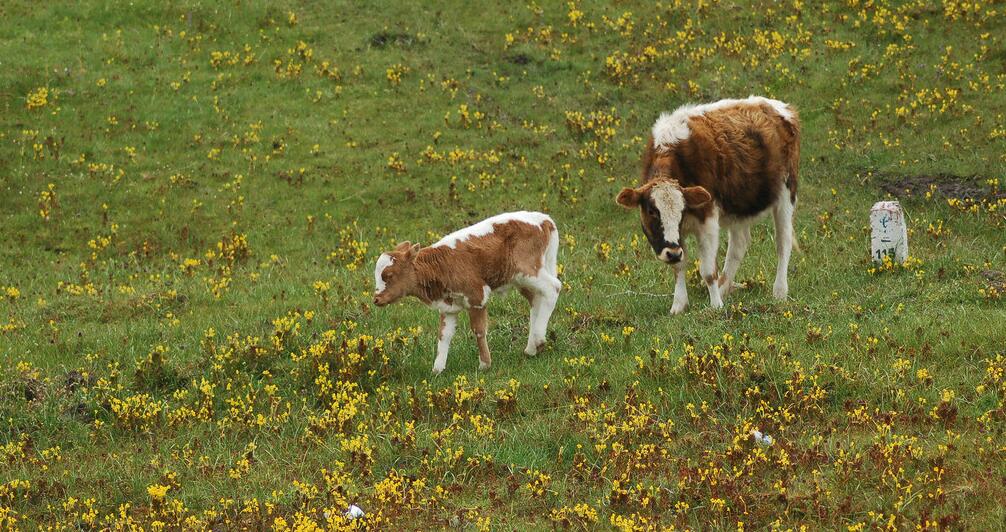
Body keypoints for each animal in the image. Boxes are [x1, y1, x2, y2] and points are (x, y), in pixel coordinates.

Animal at [372, 211, 563, 374]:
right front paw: (437, 370)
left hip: (528, 270)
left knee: (553, 288)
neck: (442, 264)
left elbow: (478, 330)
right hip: (521, 279)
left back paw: (538, 339)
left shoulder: (477, 296)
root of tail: (543, 219)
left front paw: (485, 364)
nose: (376, 299)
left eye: (388, 275)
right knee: (536, 300)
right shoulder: (448, 306)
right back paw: (532, 347)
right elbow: (443, 335)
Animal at [611, 95, 800, 313]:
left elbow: (708, 271)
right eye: (652, 211)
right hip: (739, 209)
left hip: (786, 194)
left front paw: (716, 306)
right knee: (739, 245)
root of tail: (778, 106)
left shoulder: (708, 219)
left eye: (682, 210)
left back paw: (779, 292)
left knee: (783, 242)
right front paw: (679, 305)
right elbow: (679, 266)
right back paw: (725, 287)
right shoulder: (678, 239)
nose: (671, 253)